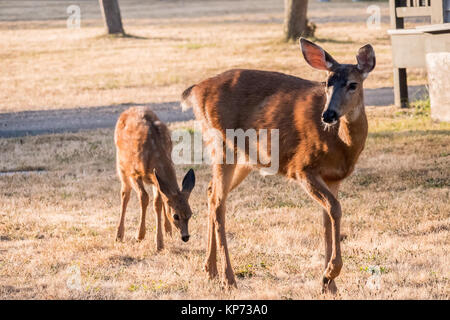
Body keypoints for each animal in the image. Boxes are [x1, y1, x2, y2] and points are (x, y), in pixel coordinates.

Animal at [114, 106, 195, 251]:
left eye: (190, 214)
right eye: (176, 216)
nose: (185, 237)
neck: (153, 155)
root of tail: (129, 109)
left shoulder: (156, 179)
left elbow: (157, 202)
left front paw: (160, 242)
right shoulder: (134, 173)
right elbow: (144, 197)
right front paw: (139, 235)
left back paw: (168, 230)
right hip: (122, 165)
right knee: (125, 194)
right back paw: (119, 235)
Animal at [181, 38, 374, 292]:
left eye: (353, 84)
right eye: (326, 83)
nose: (328, 114)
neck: (341, 143)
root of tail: (195, 90)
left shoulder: (333, 178)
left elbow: (327, 219)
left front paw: (328, 284)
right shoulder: (302, 167)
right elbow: (335, 209)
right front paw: (330, 273)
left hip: (245, 157)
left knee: (211, 191)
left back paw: (210, 269)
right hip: (222, 143)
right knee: (219, 201)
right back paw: (228, 278)